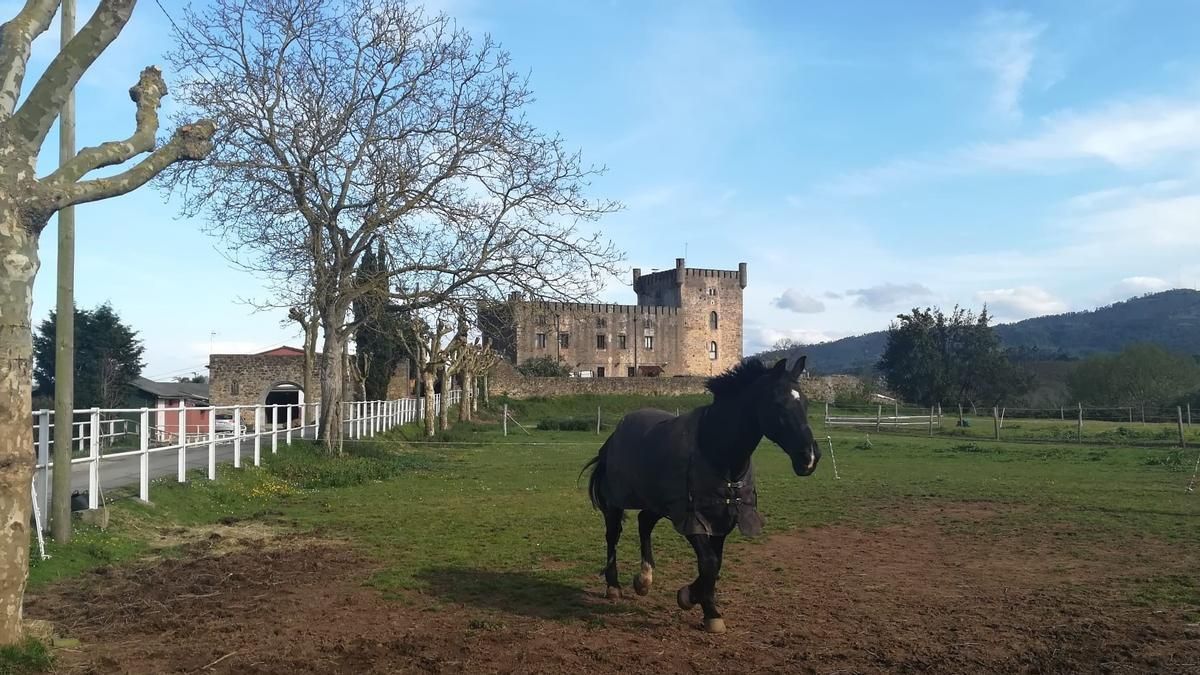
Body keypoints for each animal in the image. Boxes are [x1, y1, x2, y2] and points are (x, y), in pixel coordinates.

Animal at [578, 355, 820, 634]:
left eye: (805, 402)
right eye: (778, 404)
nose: (809, 457)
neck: (715, 449)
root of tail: (613, 437)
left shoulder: (723, 518)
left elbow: (714, 565)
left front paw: (698, 601)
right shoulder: (693, 519)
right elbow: (709, 563)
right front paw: (702, 606)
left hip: (659, 503)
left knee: (644, 522)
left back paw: (644, 579)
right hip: (616, 503)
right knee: (613, 535)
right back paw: (614, 586)